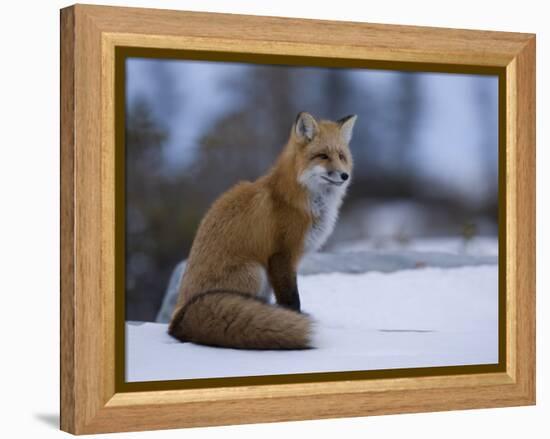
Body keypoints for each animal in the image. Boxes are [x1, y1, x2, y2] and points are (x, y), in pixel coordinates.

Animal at [169, 112, 358, 350]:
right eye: (322, 156)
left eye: (341, 156)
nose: (344, 176)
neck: (298, 200)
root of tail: (177, 319)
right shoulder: (282, 255)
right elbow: (291, 299)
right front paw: (293, 321)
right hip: (255, 272)